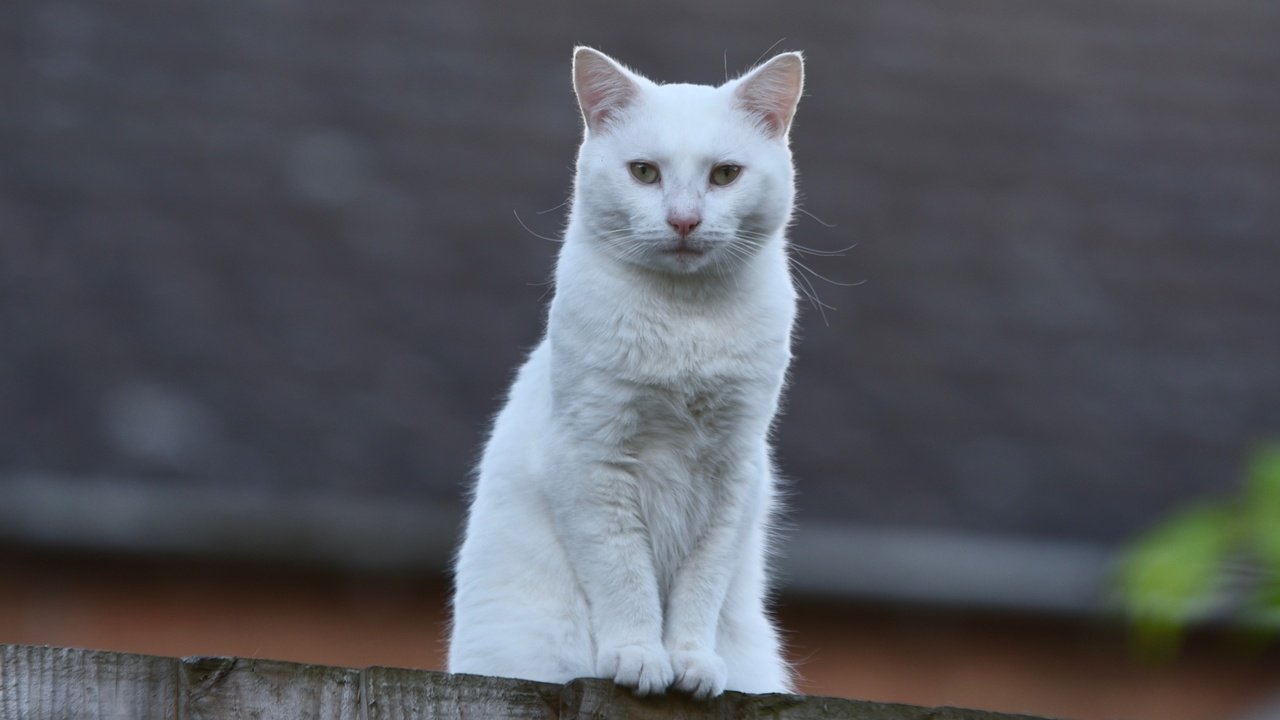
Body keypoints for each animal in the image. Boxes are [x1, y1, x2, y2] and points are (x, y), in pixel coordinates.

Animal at [448, 47, 798, 696]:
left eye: (724, 175)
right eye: (644, 172)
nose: (684, 220)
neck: (685, 323)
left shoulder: (734, 473)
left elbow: (699, 587)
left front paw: (690, 662)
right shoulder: (592, 460)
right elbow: (624, 577)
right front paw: (638, 657)